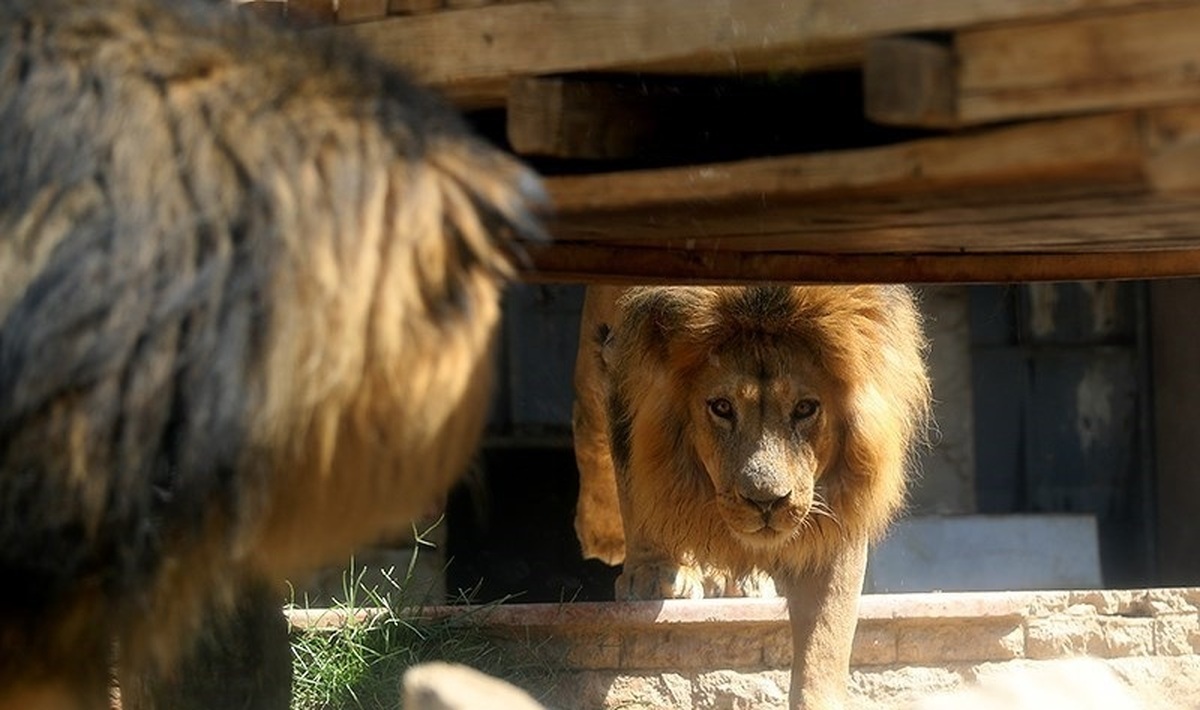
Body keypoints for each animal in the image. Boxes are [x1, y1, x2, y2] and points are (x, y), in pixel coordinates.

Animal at [576, 284, 931, 710]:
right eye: (722, 407)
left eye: (805, 408)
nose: (766, 502)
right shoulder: (624, 358)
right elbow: (637, 479)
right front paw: (653, 575)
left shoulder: (837, 507)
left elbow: (825, 638)